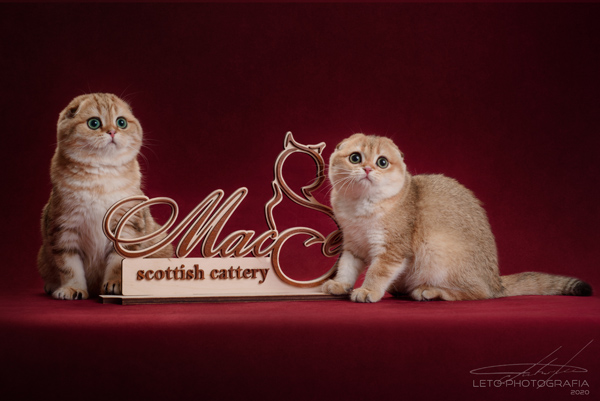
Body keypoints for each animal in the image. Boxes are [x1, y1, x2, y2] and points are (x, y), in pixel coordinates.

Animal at [38, 93, 173, 300]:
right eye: (94, 123)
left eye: (121, 122)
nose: (112, 132)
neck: (101, 175)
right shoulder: (63, 229)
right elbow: (69, 267)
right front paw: (72, 288)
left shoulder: (127, 228)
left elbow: (119, 263)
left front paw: (116, 284)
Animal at [322, 133, 592, 302]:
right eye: (355, 158)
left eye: (382, 162)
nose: (367, 169)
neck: (360, 207)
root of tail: (495, 282)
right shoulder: (353, 244)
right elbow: (347, 266)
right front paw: (339, 285)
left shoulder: (393, 249)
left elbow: (378, 271)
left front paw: (367, 290)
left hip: (436, 249)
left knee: (479, 293)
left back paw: (431, 292)